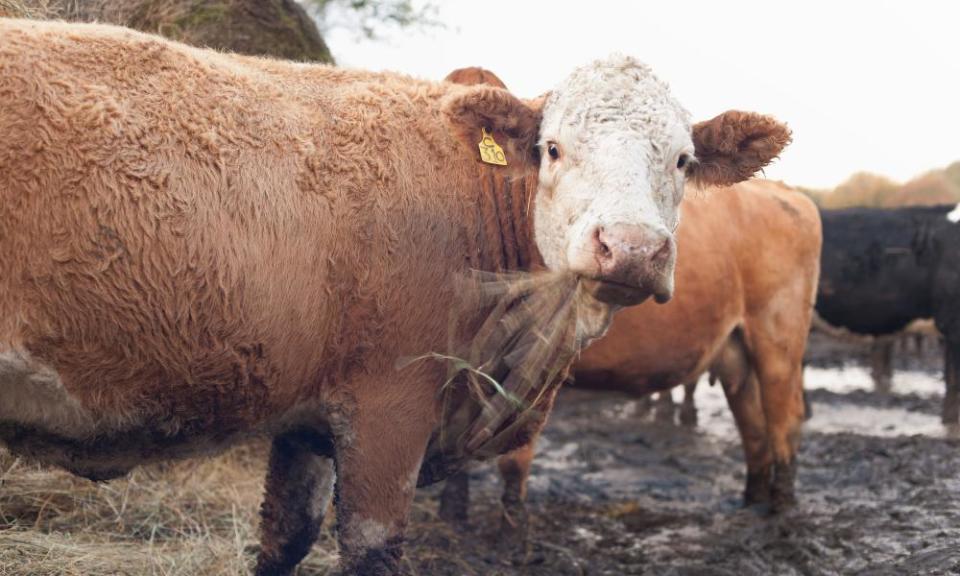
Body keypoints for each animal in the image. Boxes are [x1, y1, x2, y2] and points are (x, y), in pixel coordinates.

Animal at [0, 19, 792, 576]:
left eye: (683, 161)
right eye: (554, 148)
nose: (630, 247)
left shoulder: (308, 419)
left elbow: (283, 538)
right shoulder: (390, 408)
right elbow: (371, 546)